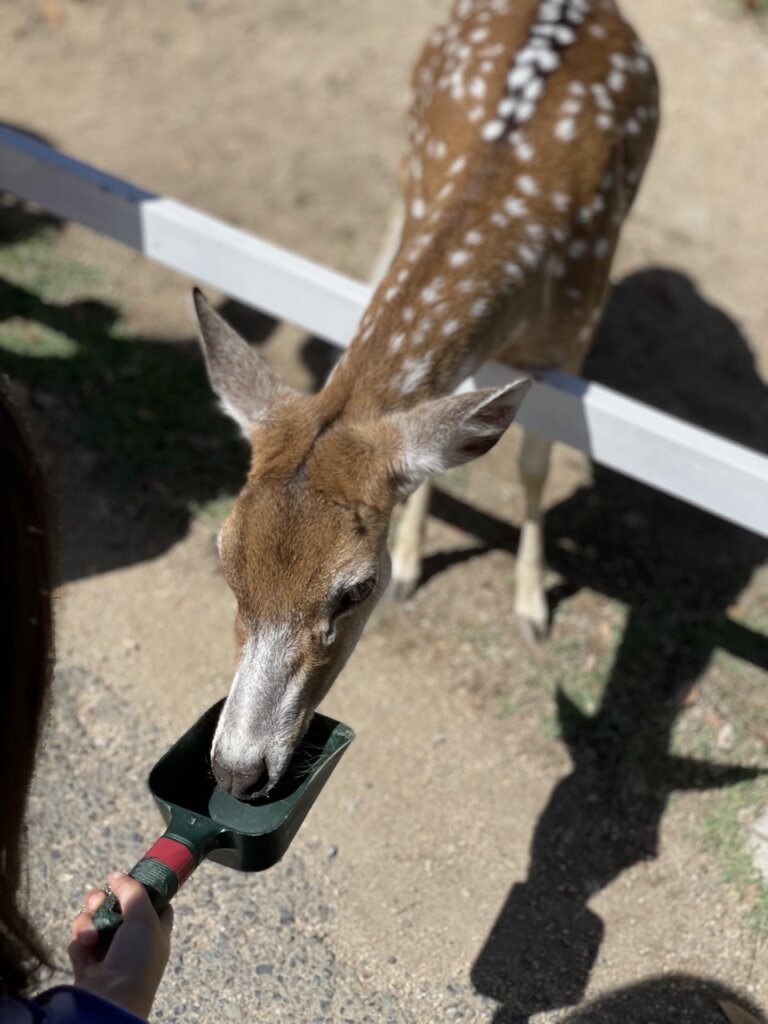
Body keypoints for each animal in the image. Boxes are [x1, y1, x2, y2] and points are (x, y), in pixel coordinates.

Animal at [195, 0, 659, 794]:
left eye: (354, 589)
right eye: (224, 557)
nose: (237, 771)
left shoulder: (575, 333)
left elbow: (533, 466)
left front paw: (531, 605)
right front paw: (414, 562)